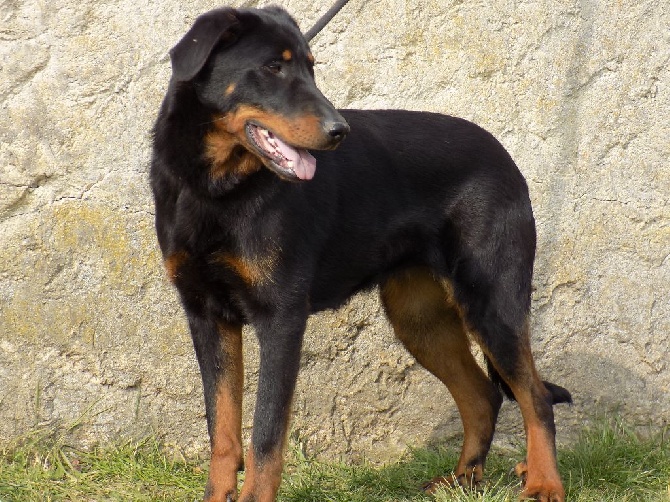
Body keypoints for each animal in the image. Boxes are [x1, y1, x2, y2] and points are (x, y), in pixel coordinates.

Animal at [151, 4, 572, 502]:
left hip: (492, 303)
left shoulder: (280, 318)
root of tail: (505, 158)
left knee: (535, 397)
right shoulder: (207, 316)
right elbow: (223, 431)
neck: (217, 188)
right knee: (482, 395)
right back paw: (462, 478)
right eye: (273, 67)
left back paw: (543, 483)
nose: (339, 131)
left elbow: (266, 437)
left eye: (311, 67)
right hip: (421, 318)